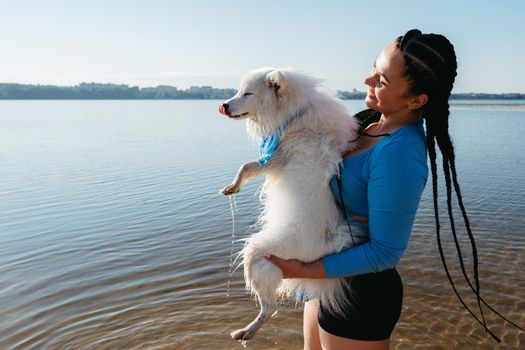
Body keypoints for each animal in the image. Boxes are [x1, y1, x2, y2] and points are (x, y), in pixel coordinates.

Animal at [218, 68, 360, 342]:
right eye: (238, 91)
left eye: (247, 93)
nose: (224, 105)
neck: (295, 115)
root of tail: (324, 247)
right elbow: (248, 166)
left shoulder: (278, 158)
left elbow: (247, 166)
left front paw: (233, 186)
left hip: (256, 254)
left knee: (269, 307)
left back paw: (247, 331)